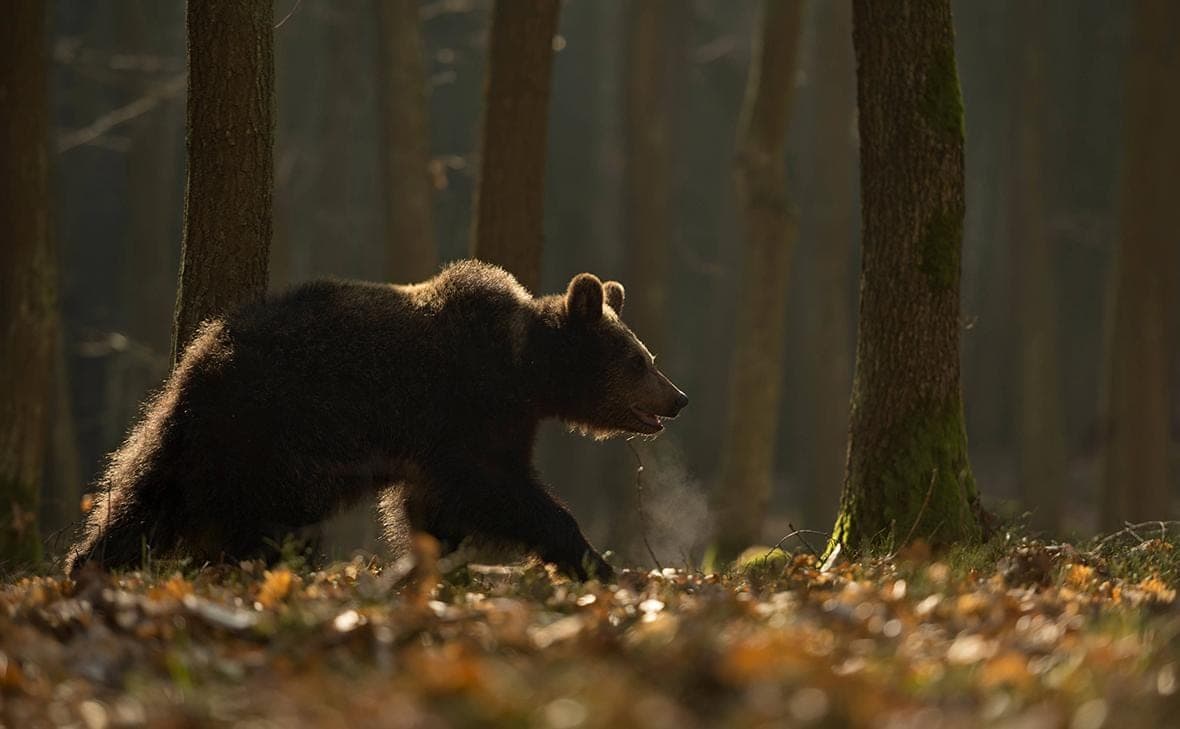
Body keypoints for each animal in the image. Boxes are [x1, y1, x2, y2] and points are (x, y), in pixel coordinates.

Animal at [65, 261, 688, 581]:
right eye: (638, 360)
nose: (678, 398)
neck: (525, 372)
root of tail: (203, 350)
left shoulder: (461, 436)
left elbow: (432, 507)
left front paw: (434, 560)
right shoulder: (467, 411)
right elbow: (501, 490)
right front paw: (593, 562)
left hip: (206, 431)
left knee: (145, 491)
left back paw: (91, 562)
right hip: (274, 430)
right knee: (252, 513)